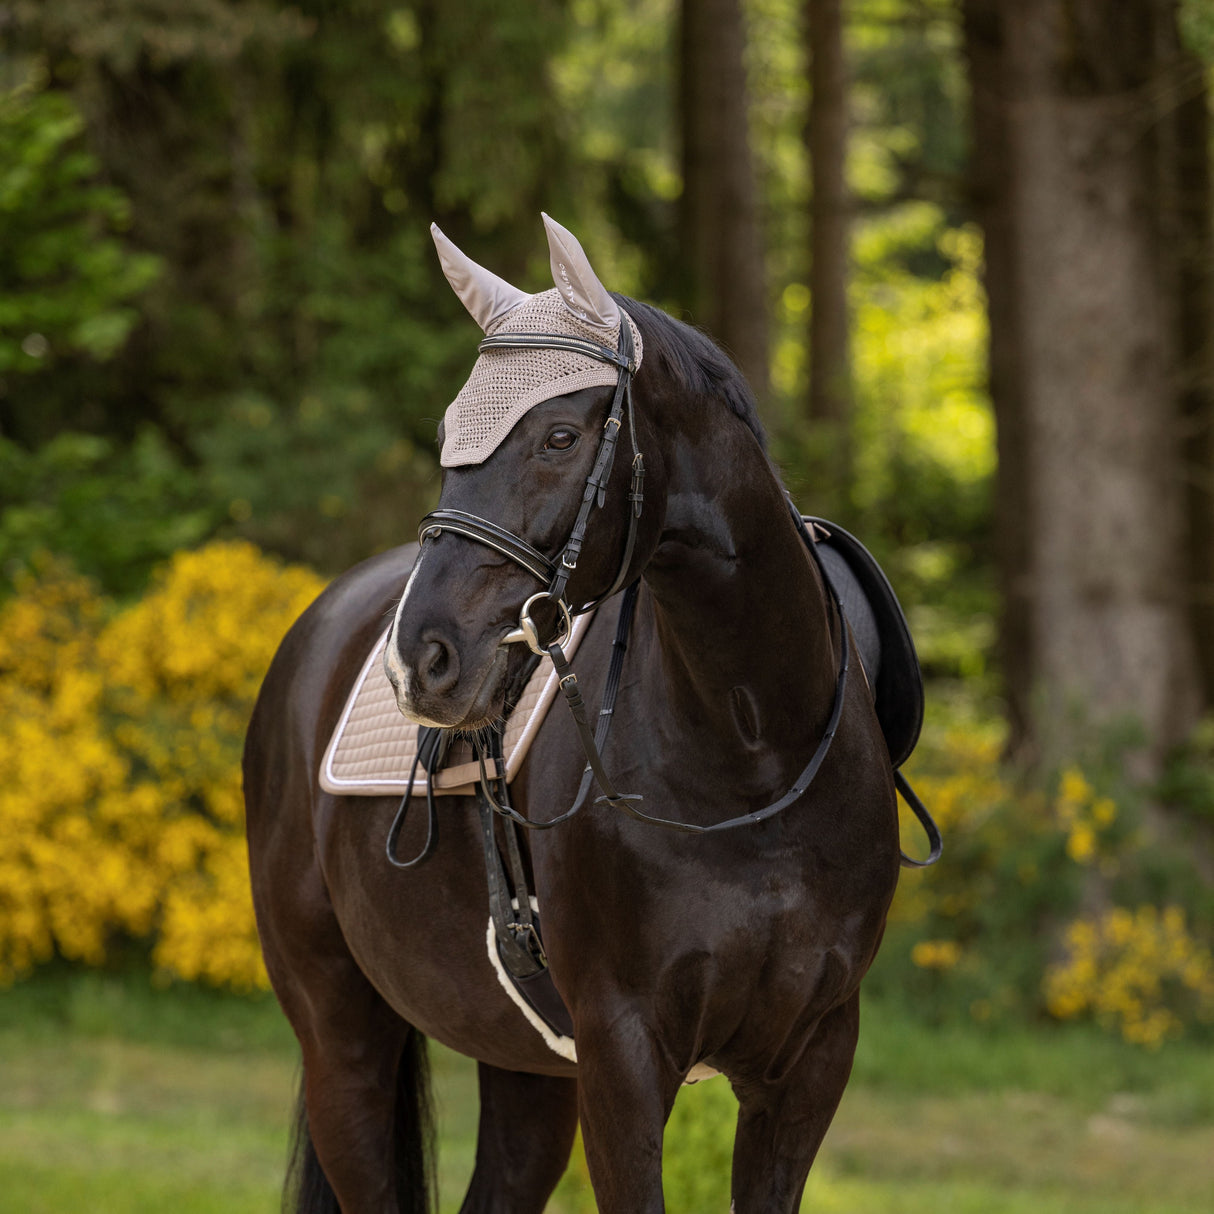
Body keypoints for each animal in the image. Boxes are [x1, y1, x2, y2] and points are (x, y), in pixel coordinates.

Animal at [244, 218, 903, 1214]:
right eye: (449, 433)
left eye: (560, 434)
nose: (420, 657)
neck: (752, 757)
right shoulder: (624, 1055)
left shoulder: (809, 1060)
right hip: (342, 1037)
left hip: (527, 1066)